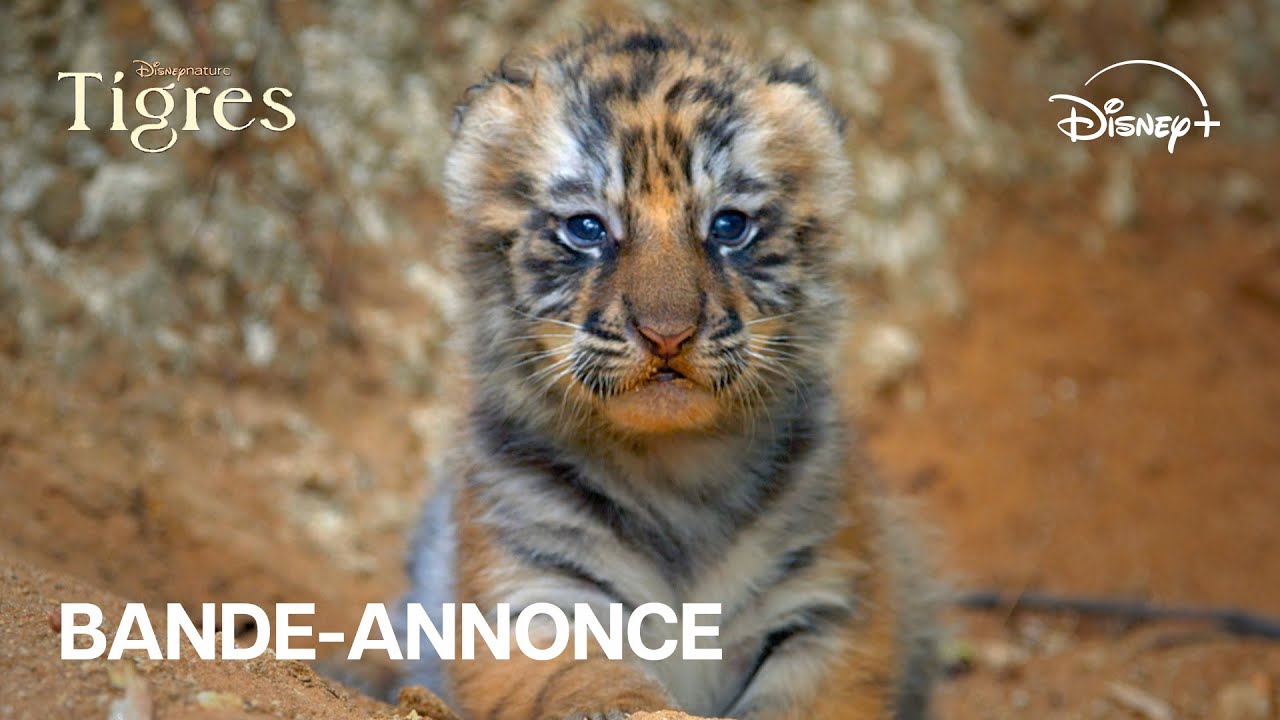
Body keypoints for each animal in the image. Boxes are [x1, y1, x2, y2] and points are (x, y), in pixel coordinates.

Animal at [392, 22, 939, 720]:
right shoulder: (527, 595)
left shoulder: (829, 605)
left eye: (729, 226)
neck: (676, 469)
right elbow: (591, 678)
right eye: (588, 228)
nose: (667, 334)